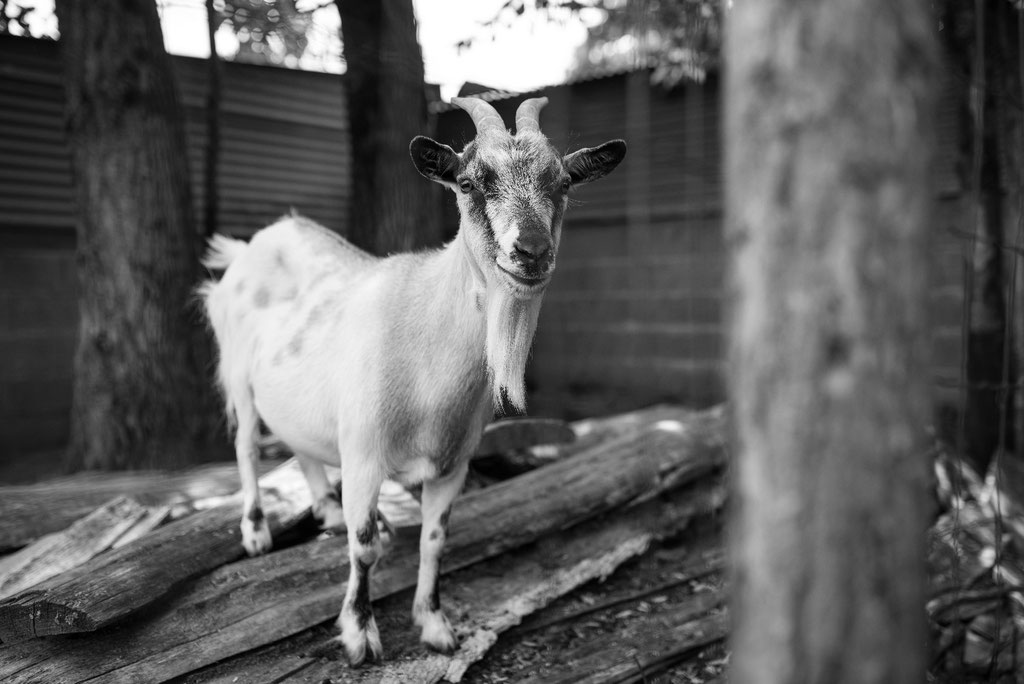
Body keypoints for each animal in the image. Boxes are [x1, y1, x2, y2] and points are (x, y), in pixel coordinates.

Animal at [195, 94, 618, 663]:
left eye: (565, 182)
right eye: (468, 182)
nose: (530, 252)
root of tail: (248, 249)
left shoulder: (453, 465)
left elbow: (434, 541)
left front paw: (435, 625)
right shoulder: (364, 454)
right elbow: (364, 546)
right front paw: (360, 634)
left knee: (299, 442)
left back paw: (327, 510)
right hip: (239, 372)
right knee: (244, 443)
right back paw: (257, 532)